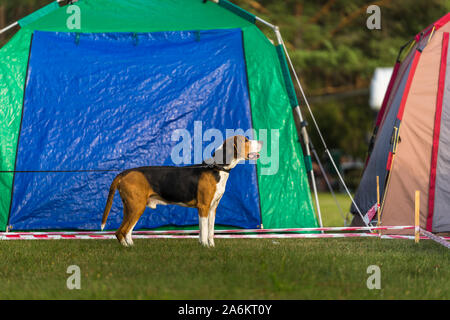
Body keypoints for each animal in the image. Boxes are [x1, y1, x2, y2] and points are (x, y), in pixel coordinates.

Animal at [101, 135, 264, 248]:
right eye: (246, 140)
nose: (262, 141)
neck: (217, 168)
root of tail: (125, 173)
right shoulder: (203, 207)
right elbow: (204, 230)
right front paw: (205, 247)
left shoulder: (212, 208)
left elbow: (210, 231)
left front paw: (211, 246)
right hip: (137, 207)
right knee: (121, 232)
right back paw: (128, 249)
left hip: (131, 208)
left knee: (127, 231)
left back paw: (132, 246)